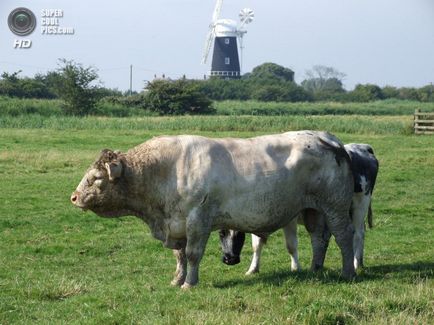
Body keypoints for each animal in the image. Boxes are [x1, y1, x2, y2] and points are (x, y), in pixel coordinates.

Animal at [72, 130, 356, 288]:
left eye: (96, 178)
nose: (74, 197)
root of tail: (327, 139)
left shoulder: (198, 220)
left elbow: (192, 254)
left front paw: (189, 283)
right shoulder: (177, 225)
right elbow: (179, 256)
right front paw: (177, 280)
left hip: (336, 206)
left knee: (344, 237)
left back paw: (348, 272)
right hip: (314, 210)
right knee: (319, 238)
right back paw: (315, 269)